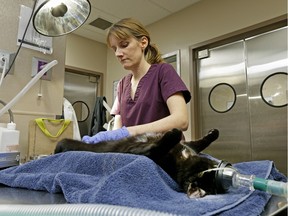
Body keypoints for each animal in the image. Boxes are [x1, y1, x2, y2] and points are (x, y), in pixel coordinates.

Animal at [54, 128, 220, 197]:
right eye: (210, 168)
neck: (184, 158)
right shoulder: (189, 146)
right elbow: (200, 142)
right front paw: (213, 133)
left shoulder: (141, 151)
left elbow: (155, 146)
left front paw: (174, 133)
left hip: (65, 142)